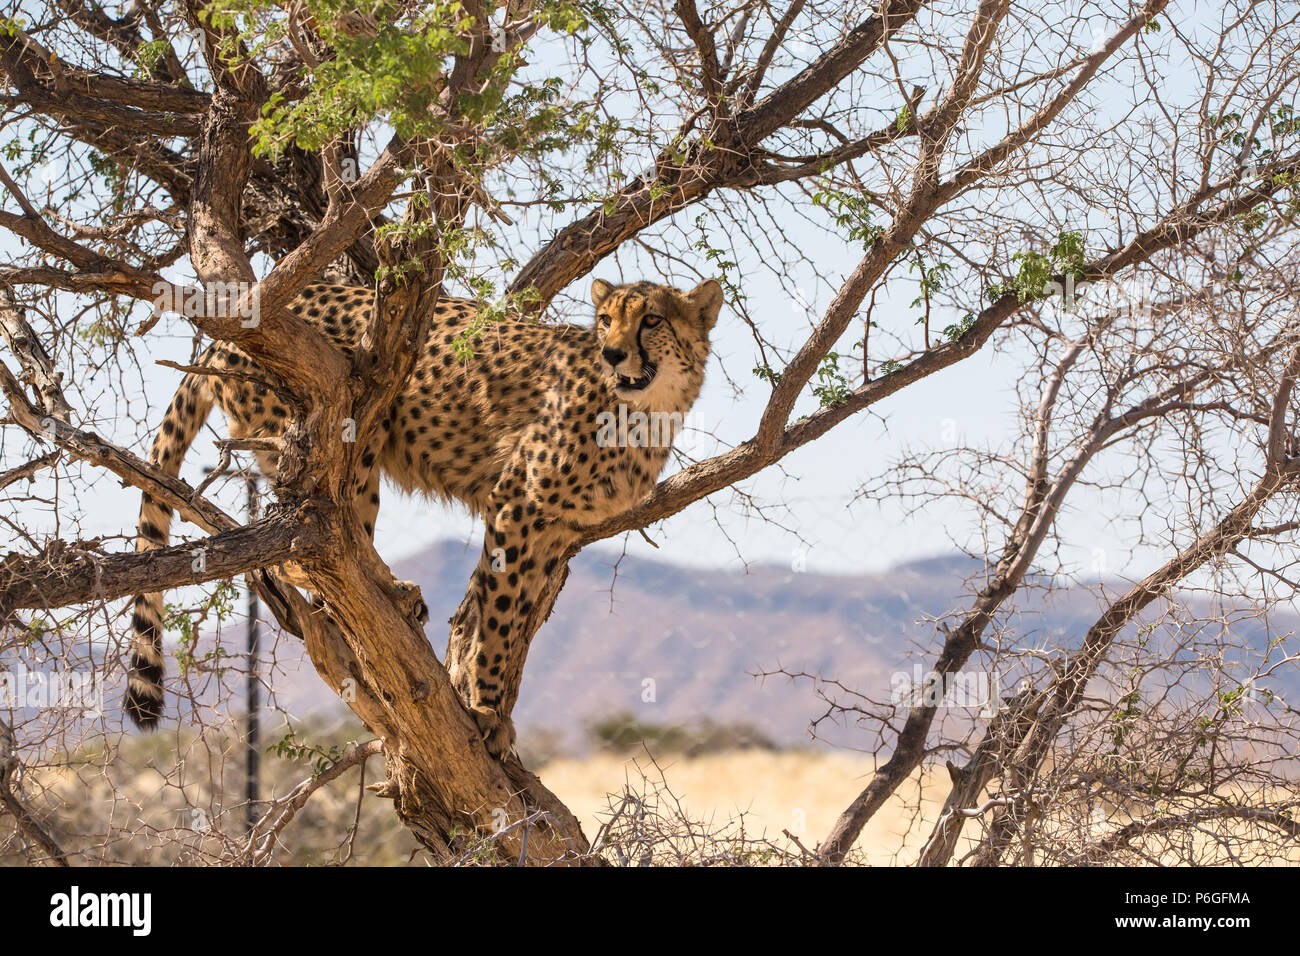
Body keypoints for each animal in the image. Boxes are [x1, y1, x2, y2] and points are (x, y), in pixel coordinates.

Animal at [126, 274, 728, 754]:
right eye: (605, 321)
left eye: (651, 320)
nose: (612, 354)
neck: (645, 413)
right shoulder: (516, 502)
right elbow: (498, 618)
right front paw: (485, 711)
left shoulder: (554, 530)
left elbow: (506, 616)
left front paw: (492, 703)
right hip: (344, 435)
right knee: (308, 539)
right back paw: (392, 590)